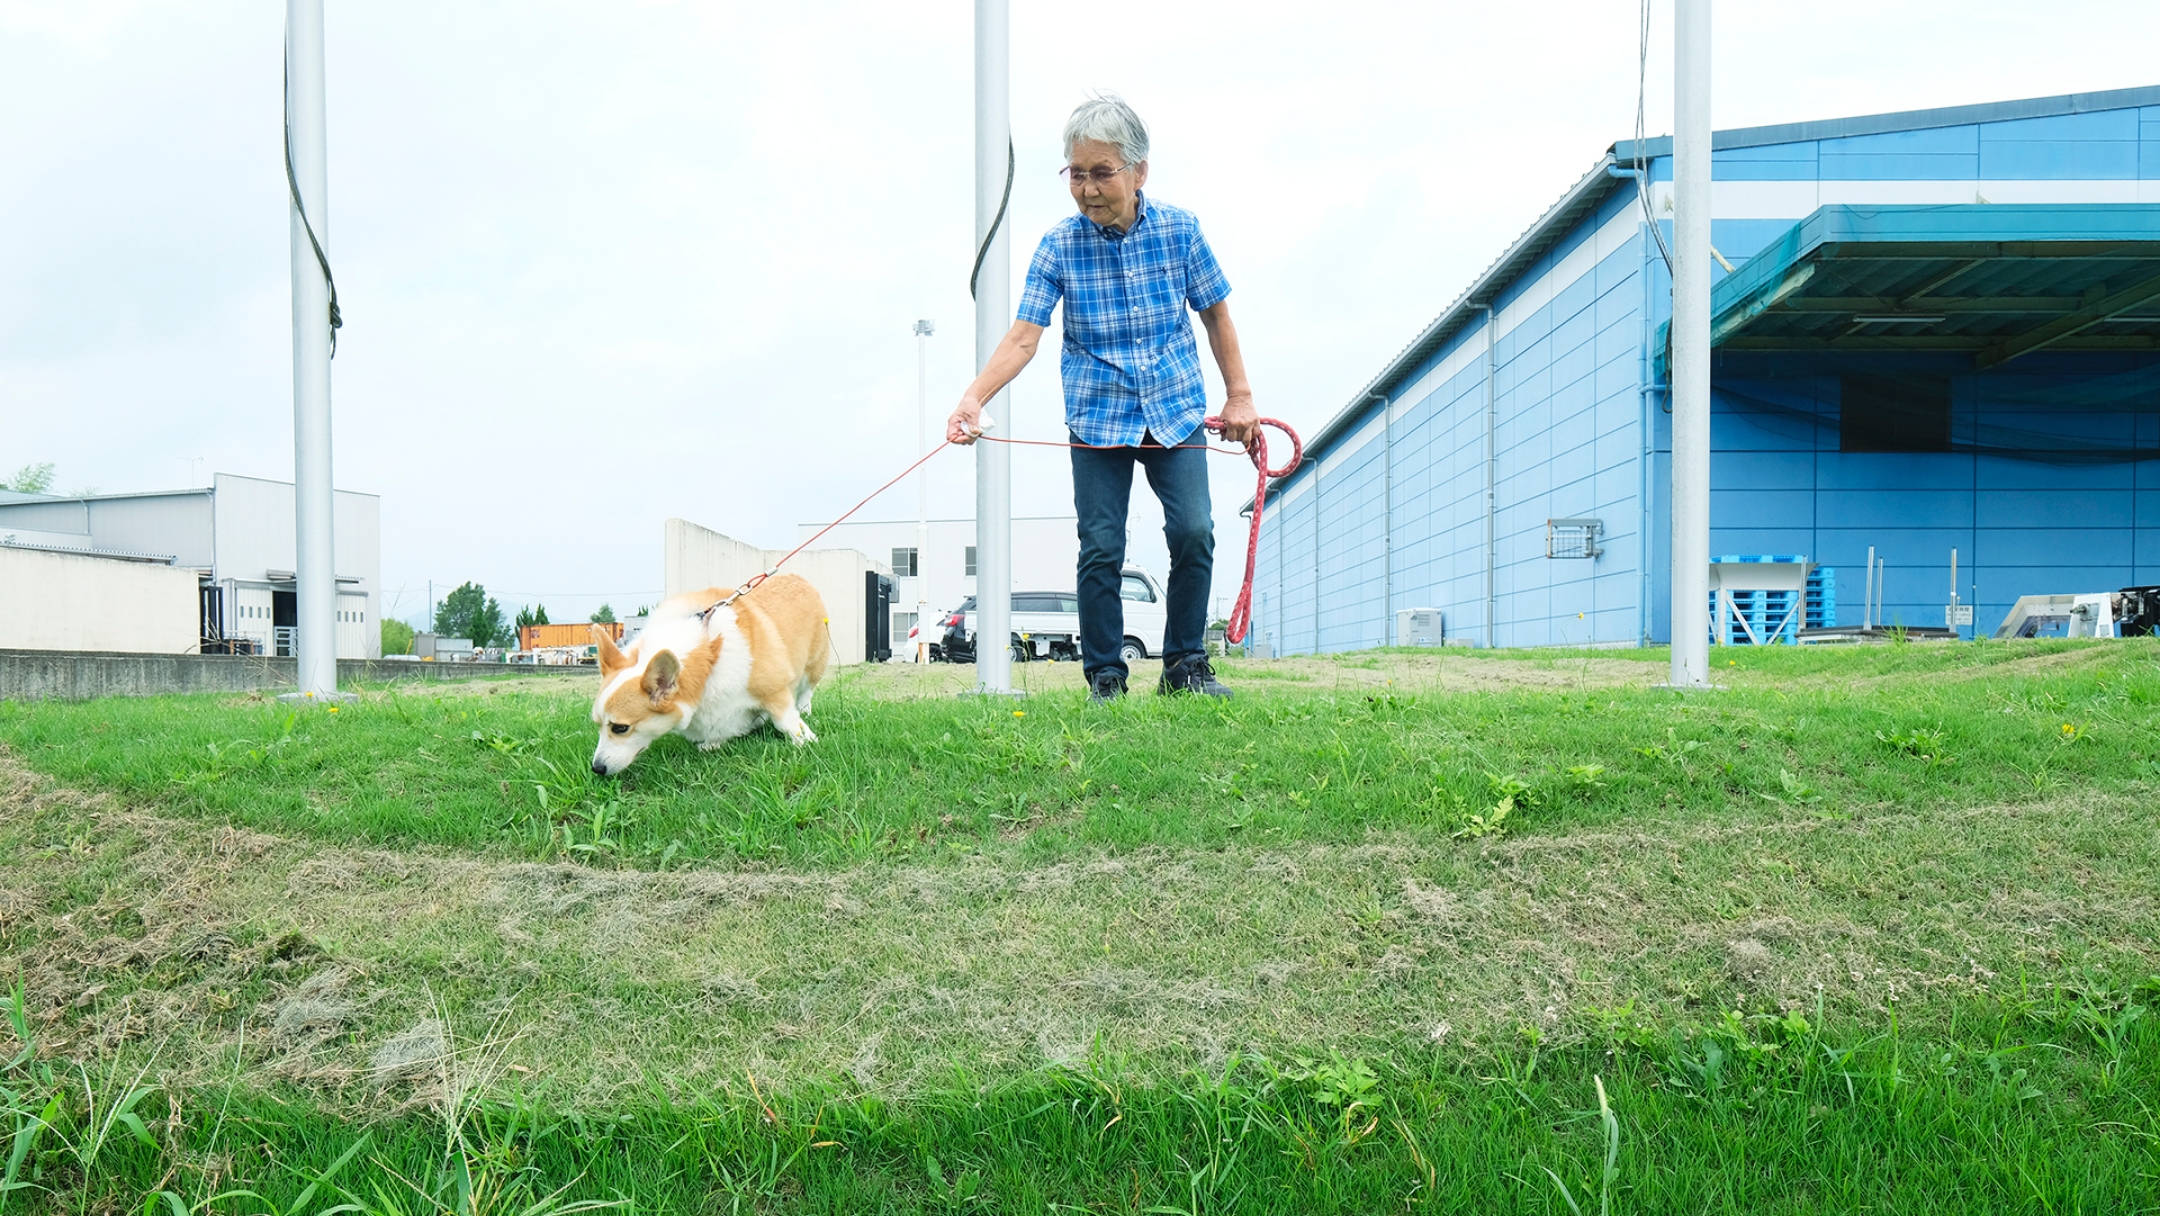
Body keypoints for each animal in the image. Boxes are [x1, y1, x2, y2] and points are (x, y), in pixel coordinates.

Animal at [587, 574, 829, 777]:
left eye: (620, 728)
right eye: (597, 724)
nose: (597, 769)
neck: (709, 660)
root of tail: (797, 577)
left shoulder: (774, 689)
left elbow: (785, 720)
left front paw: (806, 740)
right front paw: (714, 742)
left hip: (814, 663)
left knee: (806, 691)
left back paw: (805, 711)